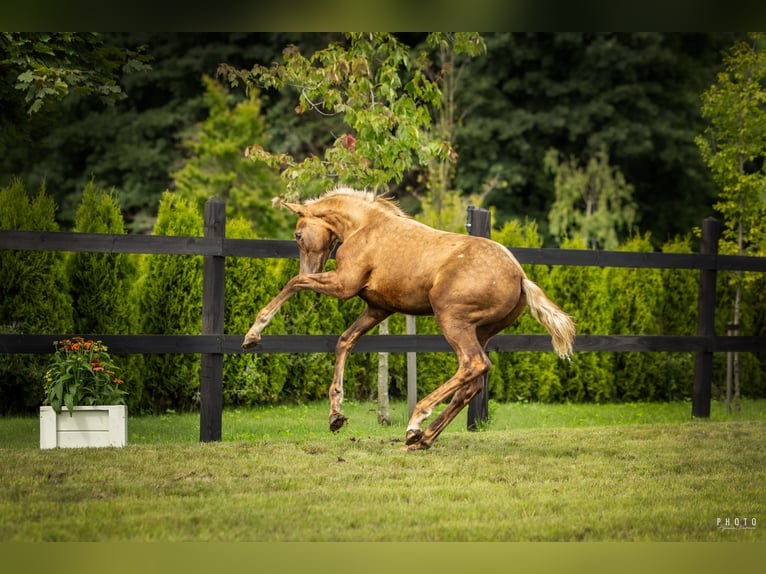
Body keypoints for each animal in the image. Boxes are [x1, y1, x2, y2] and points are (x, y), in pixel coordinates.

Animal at [242, 187, 575, 450]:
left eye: (298, 235)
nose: (310, 268)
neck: (364, 227)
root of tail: (520, 276)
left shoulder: (343, 285)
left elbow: (294, 283)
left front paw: (253, 334)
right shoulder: (378, 308)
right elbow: (344, 341)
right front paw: (336, 415)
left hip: (452, 320)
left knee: (474, 365)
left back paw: (416, 422)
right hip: (481, 331)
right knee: (472, 385)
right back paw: (421, 439)